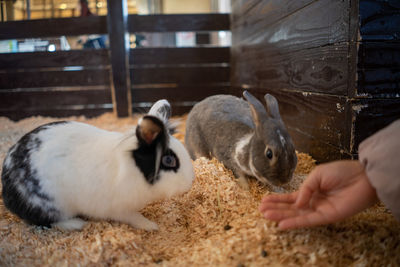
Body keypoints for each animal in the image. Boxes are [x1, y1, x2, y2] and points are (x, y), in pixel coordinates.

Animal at [0, 99, 194, 231]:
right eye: (169, 161)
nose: (190, 182)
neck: (133, 169)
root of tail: (7, 191)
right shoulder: (121, 210)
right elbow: (135, 218)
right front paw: (151, 226)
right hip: (49, 205)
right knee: (47, 221)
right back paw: (76, 224)